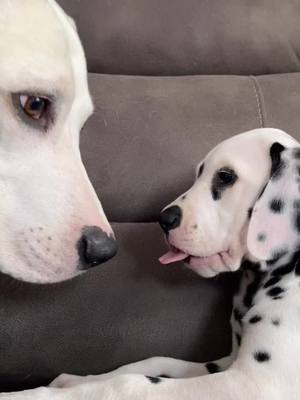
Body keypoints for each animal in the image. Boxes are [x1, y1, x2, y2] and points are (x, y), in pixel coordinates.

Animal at [4, 126, 300, 400]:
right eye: (199, 173)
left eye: (226, 176)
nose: (163, 219)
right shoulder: (227, 363)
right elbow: (156, 363)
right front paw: (78, 380)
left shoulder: (252, 383)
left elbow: (129, 384)